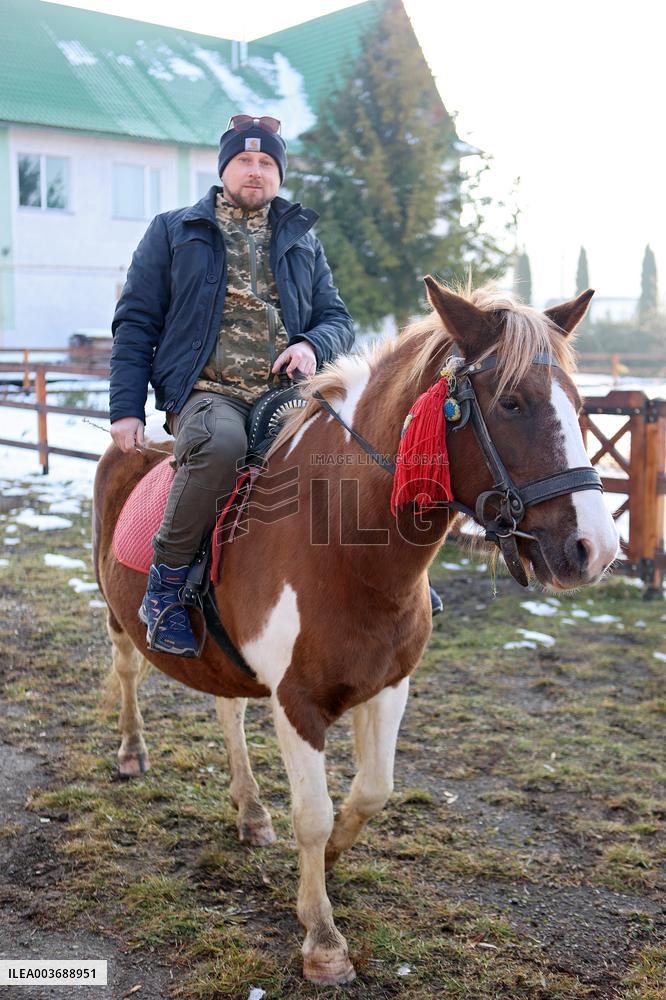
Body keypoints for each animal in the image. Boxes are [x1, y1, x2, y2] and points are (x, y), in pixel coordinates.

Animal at [93, 279, 619, 985]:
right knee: (127, 673)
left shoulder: (389, 686)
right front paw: (322, 939)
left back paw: (250, 811)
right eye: (512, 402)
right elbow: (311, 817)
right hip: (119, 618)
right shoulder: (297, 703)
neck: (343, 546)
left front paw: (336, 859)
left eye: (580, 404)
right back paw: (132, 753)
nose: (596, 549)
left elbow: (372, 792)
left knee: (229, 710)